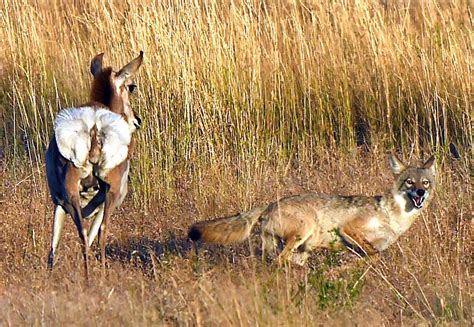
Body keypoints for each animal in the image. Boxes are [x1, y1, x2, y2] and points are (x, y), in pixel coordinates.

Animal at [45, 51, 143, 276]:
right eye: (129, 87)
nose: (137, 121)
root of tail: (94, 125)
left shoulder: (59, 202)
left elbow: (54, 244)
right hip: (111, 193)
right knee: (100, 232)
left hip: (69, 194)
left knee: (78, 235)